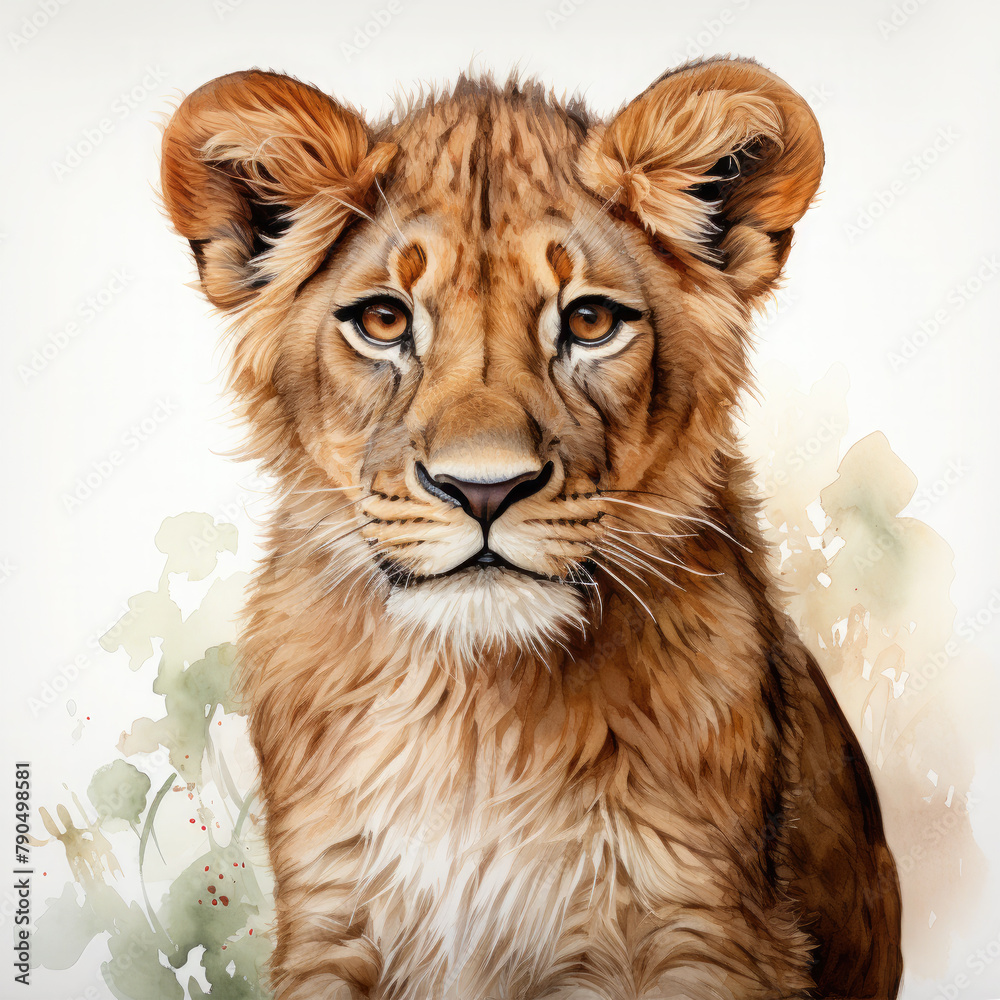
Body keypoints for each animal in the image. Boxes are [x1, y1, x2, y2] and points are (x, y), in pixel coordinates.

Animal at [161, 58, 902, 1000]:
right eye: (384, 321)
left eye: (589, 321)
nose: (485, 490)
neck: (477, 717)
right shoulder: (332, 917)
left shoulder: (705, 929)